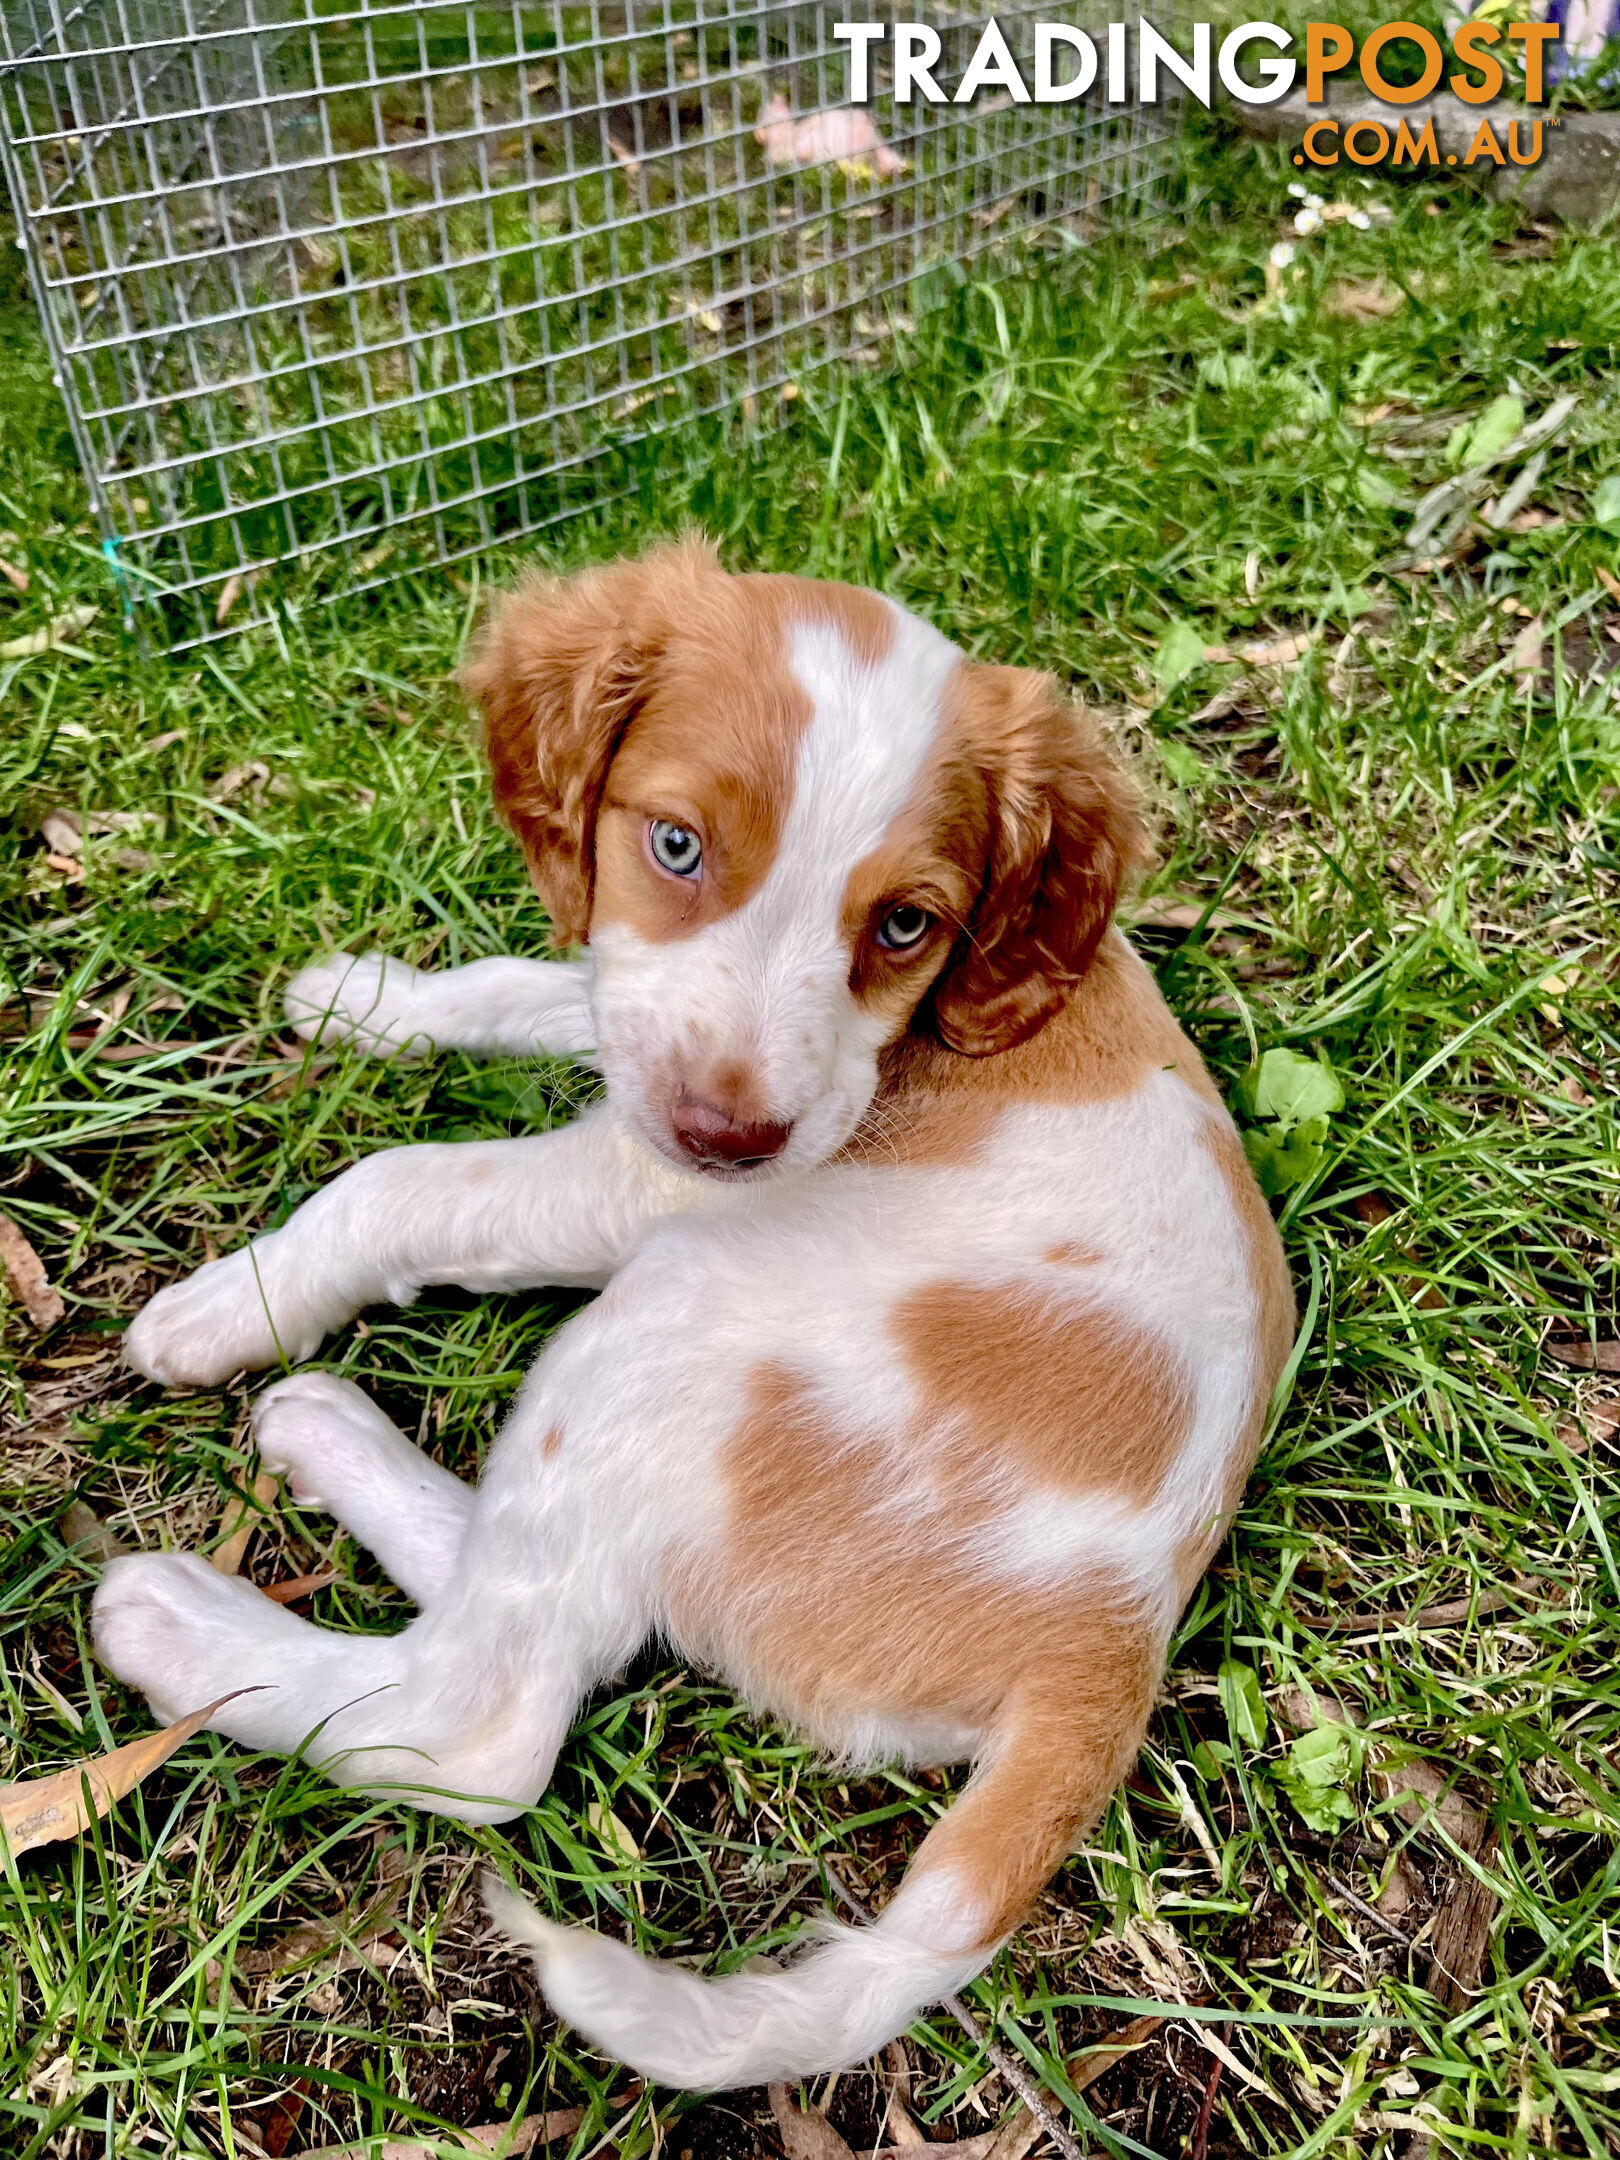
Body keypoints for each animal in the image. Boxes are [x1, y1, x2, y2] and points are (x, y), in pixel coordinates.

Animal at [98, 540, 1296, 2090]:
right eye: (674, 848)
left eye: (904, 925)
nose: (734, 1142)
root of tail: (1110, 1646)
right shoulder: (634, 1011)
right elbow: (539, 983)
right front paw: (373, 1000)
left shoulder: (644, 1182)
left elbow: (403, 1183)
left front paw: (229, 1302)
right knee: (570, 1601)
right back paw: (325, 1438)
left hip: (679, 1313)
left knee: (488, 1719)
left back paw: (187, 1632)